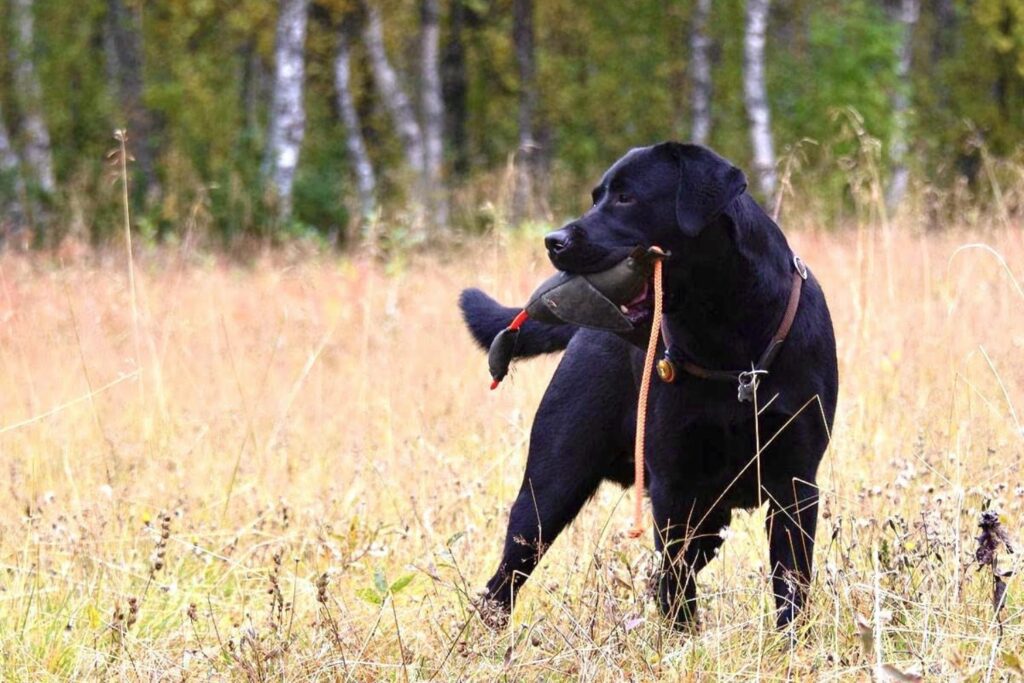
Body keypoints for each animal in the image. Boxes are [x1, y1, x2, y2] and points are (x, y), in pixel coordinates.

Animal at [460, 144, 835, 630]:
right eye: (597, 196)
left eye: (626, 197)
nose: (552, 240)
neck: (730, 340)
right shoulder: (674, 489)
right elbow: (677, 589)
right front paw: (682, 640)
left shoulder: (795, 484)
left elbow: (791, 585)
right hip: (548, 491)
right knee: (504, 580)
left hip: (710, 519)